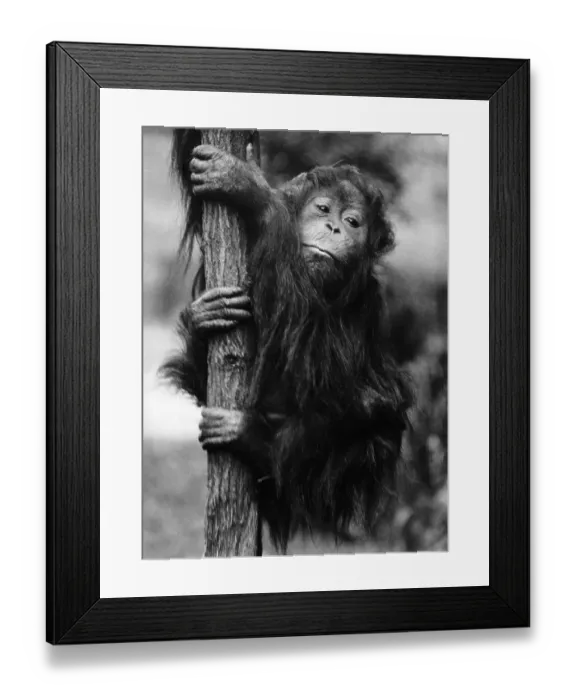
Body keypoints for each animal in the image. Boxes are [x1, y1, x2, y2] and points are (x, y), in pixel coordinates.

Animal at [161, 135, 414, 553]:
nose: (334, 227)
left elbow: (322, 364)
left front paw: (250, 189)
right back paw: (204, 319)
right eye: (323, 209)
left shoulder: (367, 297)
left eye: (353, 222)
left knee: (373, 403)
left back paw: (256, 441)